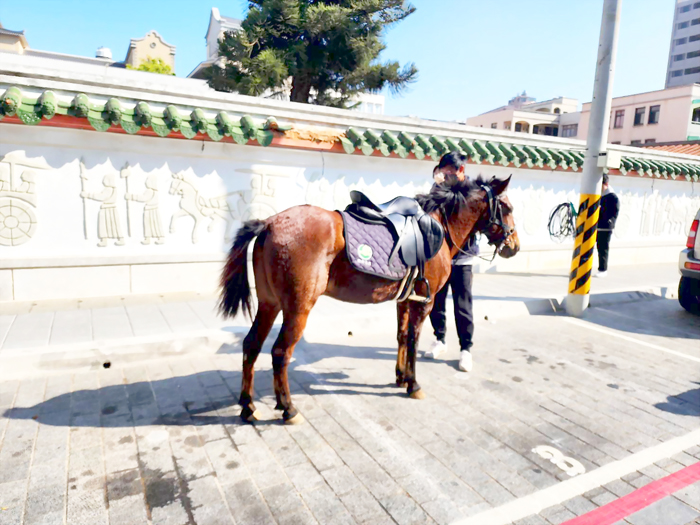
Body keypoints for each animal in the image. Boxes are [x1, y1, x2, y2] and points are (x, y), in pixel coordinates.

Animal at [219, 175, 520, 422]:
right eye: (508, 208)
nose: (514, 246)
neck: (439, 227)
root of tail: (269, 223)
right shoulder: (425, 301)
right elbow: (414, 340)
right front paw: (413, 384)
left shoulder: (404, 300)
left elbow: (401, 336)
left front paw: (400, 376)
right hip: (297, 308)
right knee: (280, 353)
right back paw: (288, 408)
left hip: (269, 304)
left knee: (251, 345)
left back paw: (247, 406)